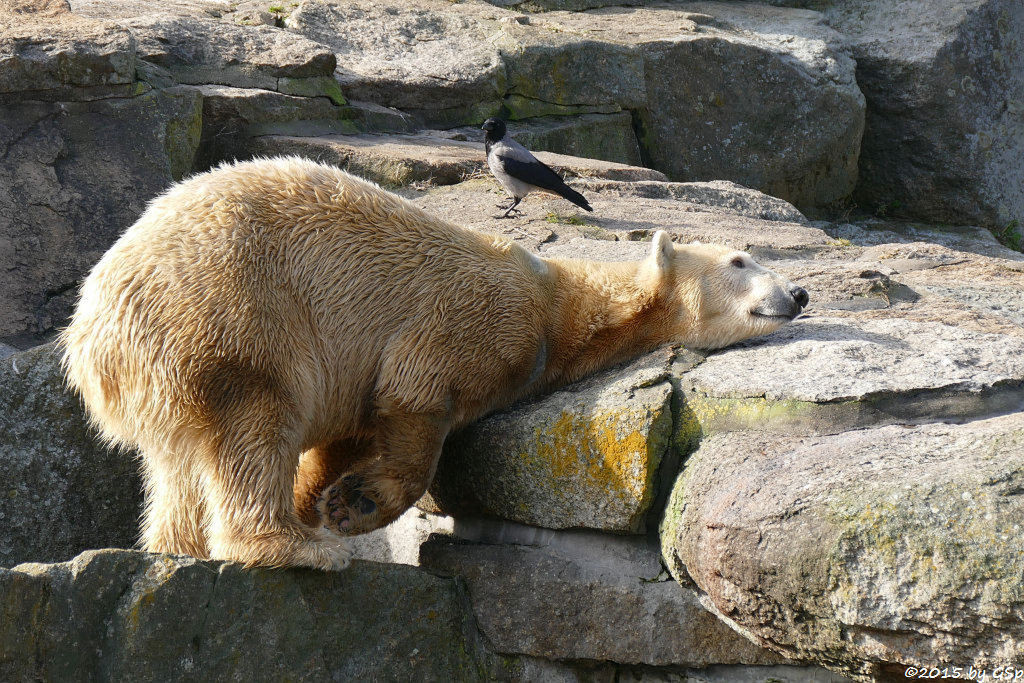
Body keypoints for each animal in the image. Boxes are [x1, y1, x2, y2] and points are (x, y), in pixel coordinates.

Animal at [59, 157, 806, 569]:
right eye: (741, 259)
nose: (798, 293)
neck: (556, 302)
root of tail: (91, 328)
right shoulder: (474, 320)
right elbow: (415, 399)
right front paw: (354, 506)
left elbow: (342, 436)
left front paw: (325, 496)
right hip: (228, 312)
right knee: (256, 418)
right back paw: (294, 548)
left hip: (168, 363)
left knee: (181, 464)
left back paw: (177, 547)